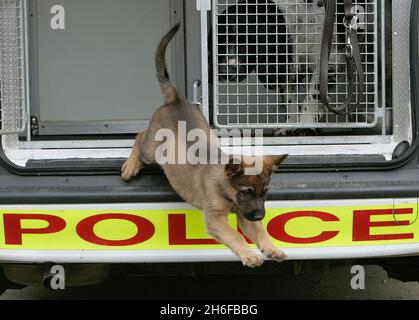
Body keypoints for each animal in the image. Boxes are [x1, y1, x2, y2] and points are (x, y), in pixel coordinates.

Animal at [122, 23, 288, 266]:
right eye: (247, 192)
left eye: (265, 192)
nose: (260, 214)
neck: (226, 189)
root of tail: (176, 99)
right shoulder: (216, 219)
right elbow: (235, 236)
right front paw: (249, 254)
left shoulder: (244, 213)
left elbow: (259, 230)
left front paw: (271, 248)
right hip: (151, 148)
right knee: (140, 136)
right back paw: (131, 166)